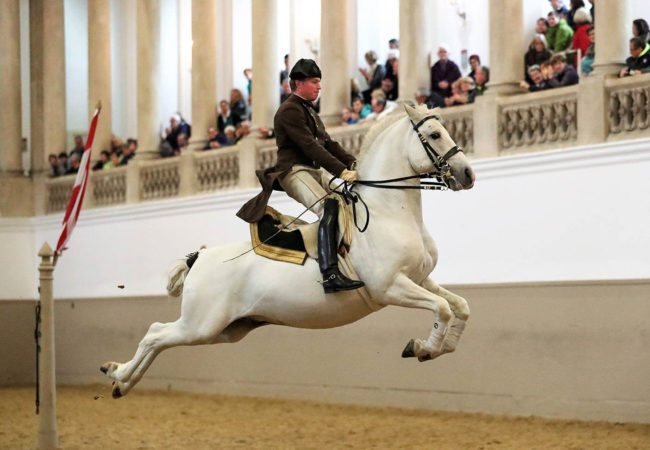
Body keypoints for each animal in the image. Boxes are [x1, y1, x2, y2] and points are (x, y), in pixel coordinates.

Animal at [102, 104, 476, 398]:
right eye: (434, 134)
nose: (467, 174)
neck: (389, 211)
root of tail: (200, 258)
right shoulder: (391, 287)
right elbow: (443, 309)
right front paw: (423, 348)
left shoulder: (420, 279)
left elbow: (460, 307)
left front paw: (437, 348)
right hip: (201, 324)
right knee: (155, 334)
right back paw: (118, 374)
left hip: (225, 330)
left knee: (159, 339)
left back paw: (121, 381)